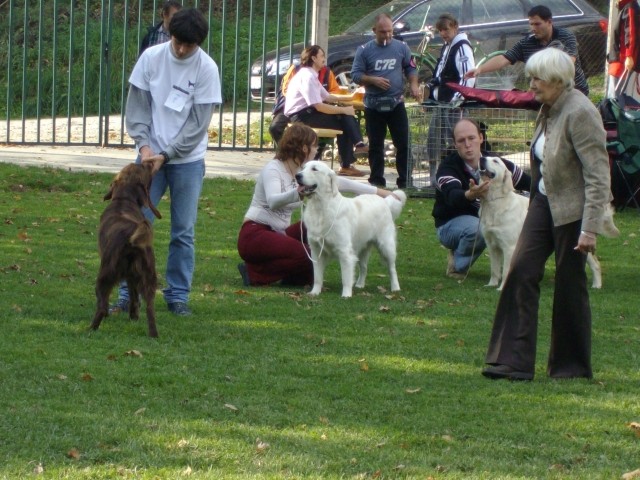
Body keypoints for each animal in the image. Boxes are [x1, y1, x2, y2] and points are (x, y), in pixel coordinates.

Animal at [92, 164, 162, 338]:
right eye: (143, 167)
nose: (150, 164)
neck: (123, 200)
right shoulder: (132, 277)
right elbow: (134, 298)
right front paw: (133, 317)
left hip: (104, 275)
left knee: (102, 306)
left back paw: (90, 329)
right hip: (149, 277)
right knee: (150, 309)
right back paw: (153, 335)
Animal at [294, 160, 404, 296]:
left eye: (314, 169)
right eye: (303, 168)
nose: (297, 176)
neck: (320, 207)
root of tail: (385, 202)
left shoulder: (344, 251)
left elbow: (345, 277)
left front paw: (346, 295)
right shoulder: (316, 251)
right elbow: (318, 277)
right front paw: (314, 292)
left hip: (386, 246)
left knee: (392, 268)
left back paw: (395, 287)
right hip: (362, 247)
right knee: (364, 267)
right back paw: (360, 285)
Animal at [478, 159, 616, 290]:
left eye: (495, 161)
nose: (482, 158)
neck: (494, 202)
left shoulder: (509, 247)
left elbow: (506, 271)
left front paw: (501, 288)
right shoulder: (491, 245)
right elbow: (494, 269)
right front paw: (492, 284)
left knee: (596, 264)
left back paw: (597, 285)